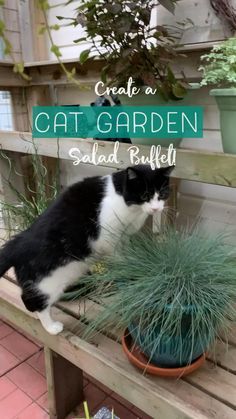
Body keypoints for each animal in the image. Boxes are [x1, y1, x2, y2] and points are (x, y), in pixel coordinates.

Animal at [0, 164, 173, 334]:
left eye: (162, 194)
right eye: (145, 195)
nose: (156, 209)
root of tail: (17, 243)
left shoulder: (123, 236)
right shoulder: (109, 237)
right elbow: (117, 255)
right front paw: (125, 266)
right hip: (46, 282)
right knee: (33, 302)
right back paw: (51, 327)